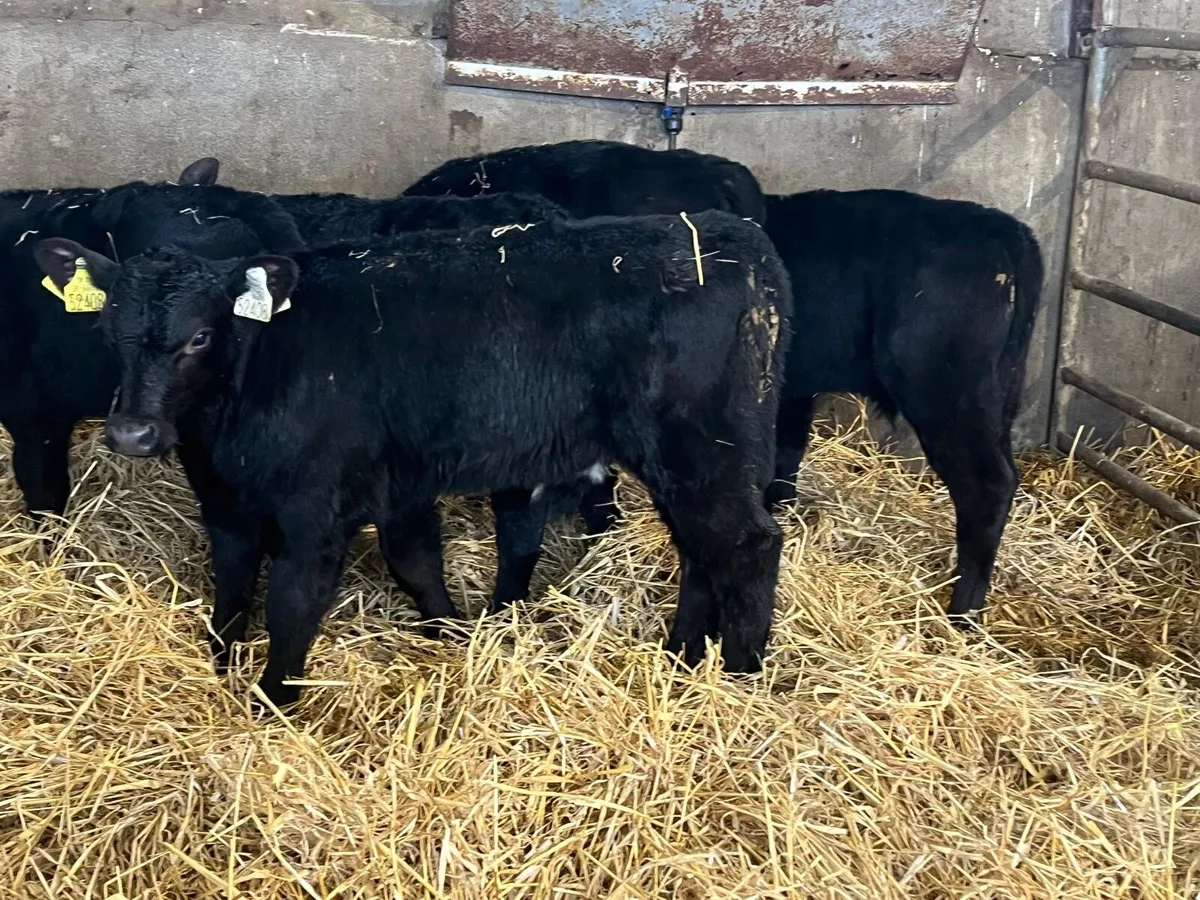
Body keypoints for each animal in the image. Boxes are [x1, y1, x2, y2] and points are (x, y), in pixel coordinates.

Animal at [36, 209, 791, 707]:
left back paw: (742, 681)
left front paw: (272, 702)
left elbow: (292, 602)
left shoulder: (317, 508)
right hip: (687, 460)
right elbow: (242, 588)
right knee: (700, 550)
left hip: (703, 447)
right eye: (106, 329)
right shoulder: (239, 502)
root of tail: (736, 239)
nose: (132, 433)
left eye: (199, 336)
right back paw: (681, 657)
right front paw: (223, 669)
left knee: (748, 545)